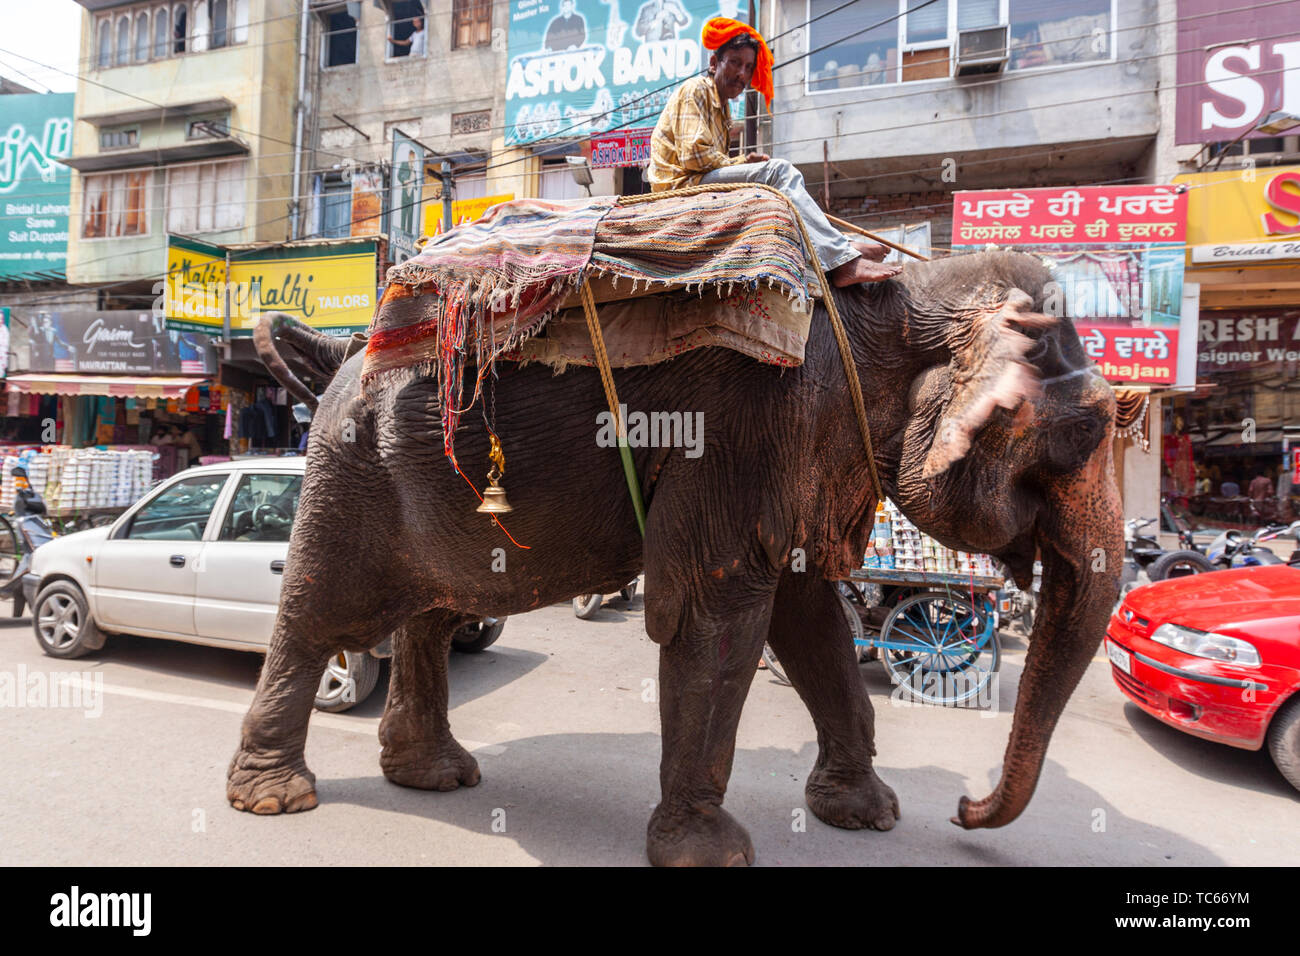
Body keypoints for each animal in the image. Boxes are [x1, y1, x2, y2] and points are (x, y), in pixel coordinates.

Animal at [227, 249, 1122, 866]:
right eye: (1092, 430)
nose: (966, 809)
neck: (904, 296)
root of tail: (337, 357)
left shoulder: (795, 444)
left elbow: (807, 617)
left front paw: (868, 817)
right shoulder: (745, 427)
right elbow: (719, 613)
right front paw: (713, 855)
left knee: (433, 612)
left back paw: (434, 776)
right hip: (351, 475)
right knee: (321, 614)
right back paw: (275, 799)